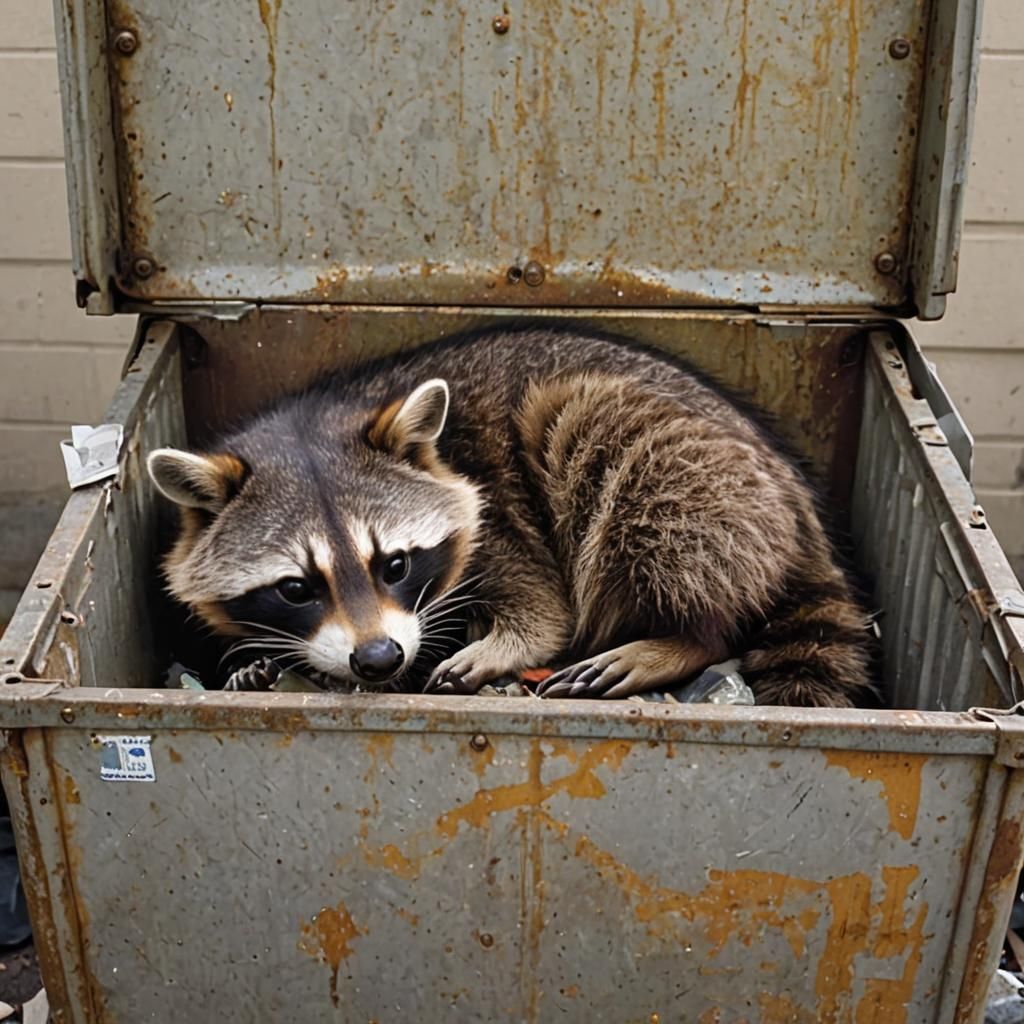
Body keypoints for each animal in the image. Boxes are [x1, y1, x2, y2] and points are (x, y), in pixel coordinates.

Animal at [148, 325, 875, 707]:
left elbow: (543, 604)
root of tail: (795, 497)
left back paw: (685, 639)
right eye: (296, 588)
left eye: (395, 564)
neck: (313, 419)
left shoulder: (496, 508)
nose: (380, 660)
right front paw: (249, 667)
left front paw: (507, 640)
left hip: (685, 472)